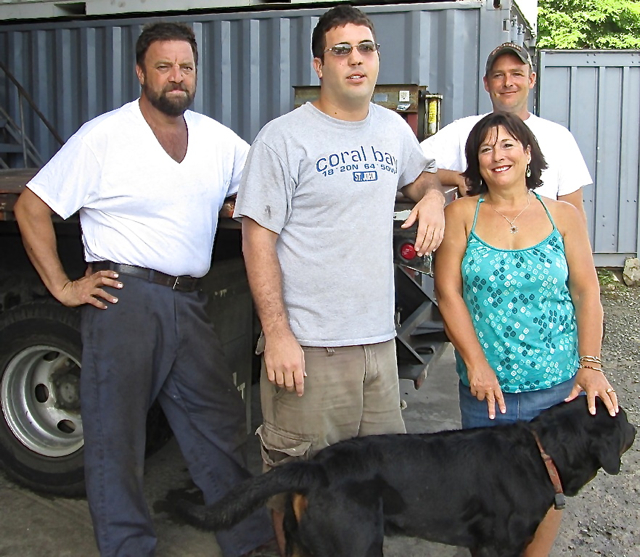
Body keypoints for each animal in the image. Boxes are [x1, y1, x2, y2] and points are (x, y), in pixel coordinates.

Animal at [186, 398, 636, 552]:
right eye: (623, 419)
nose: (636, 429)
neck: (541, 453)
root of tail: (315, 466)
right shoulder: (499, 547)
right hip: (355, 545)